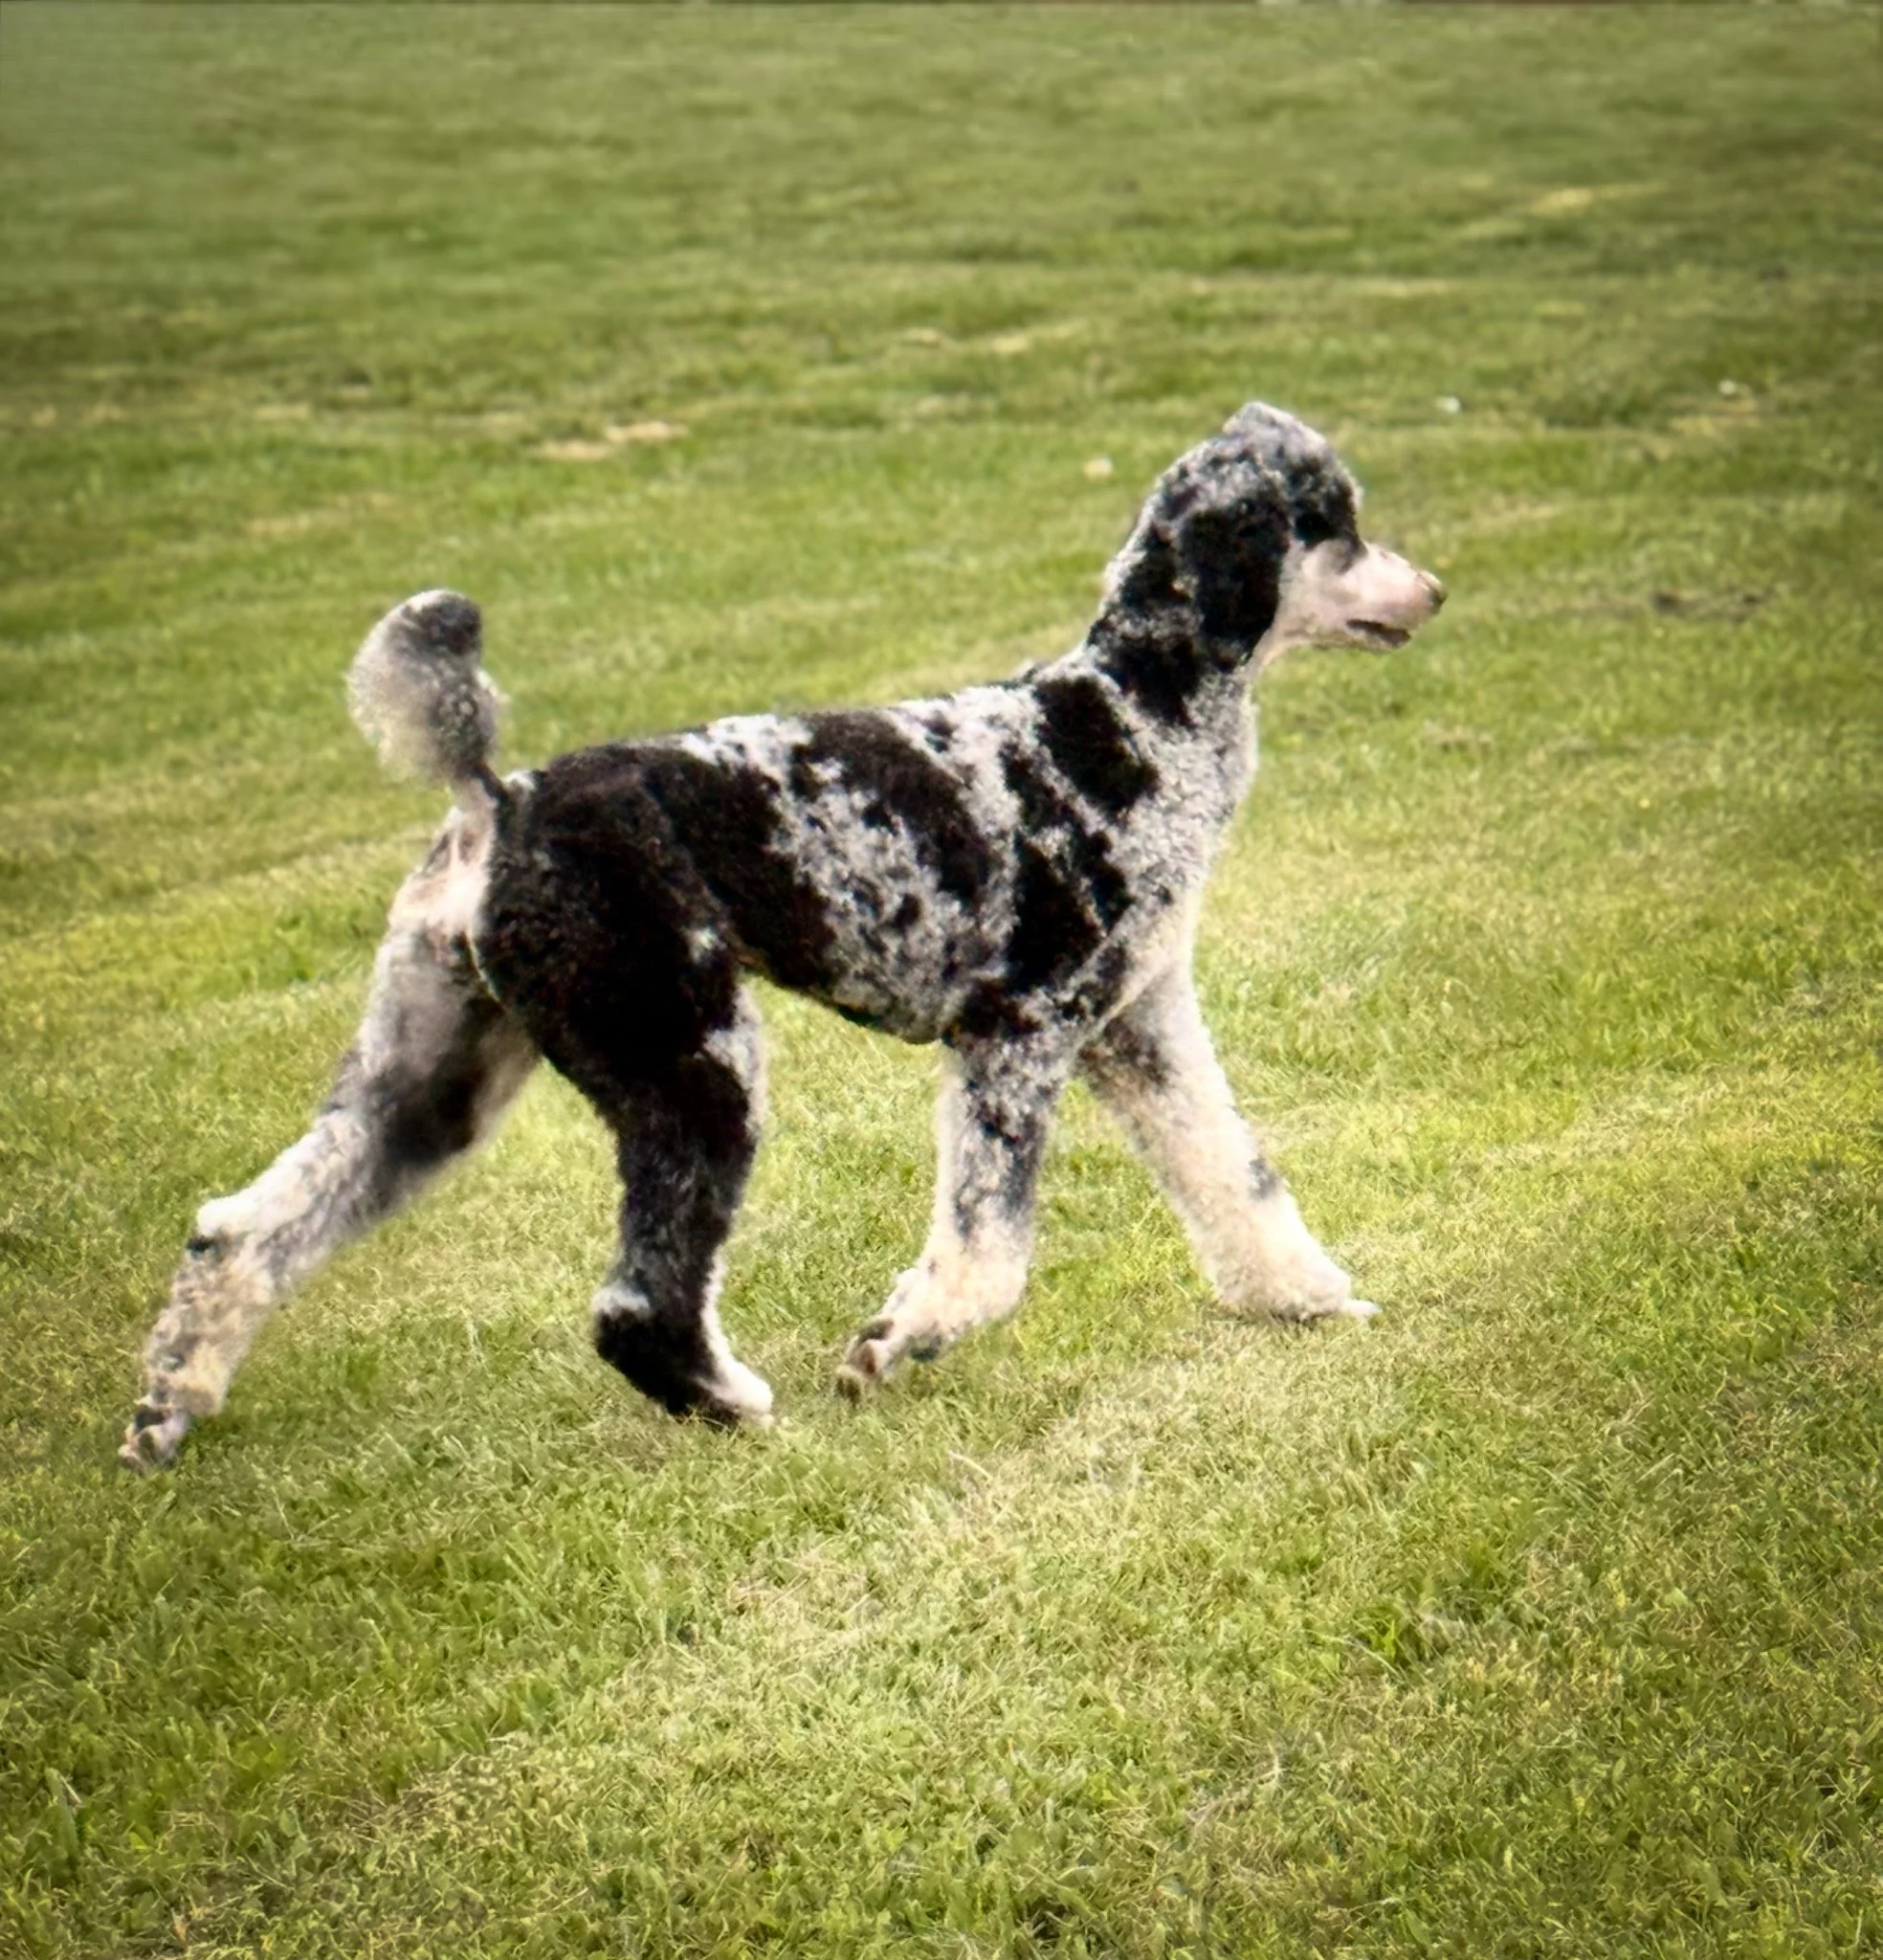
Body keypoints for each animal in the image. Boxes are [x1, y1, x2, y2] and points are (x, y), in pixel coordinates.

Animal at [120, 402, 1444, 1470]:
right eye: (1335, 522)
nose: (1434, 591)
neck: (1123, 721)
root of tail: (500, 802)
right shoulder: (1016, 1036)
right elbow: (986, 1256)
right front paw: (892, 1342)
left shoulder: (1139, 1032)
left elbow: (1237, 1173)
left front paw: (1306, 1299)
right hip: (692, 1065)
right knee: (638, 1303)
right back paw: (735, 1406)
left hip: (434, 1080)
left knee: (239, 1232)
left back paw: (166, 1412)